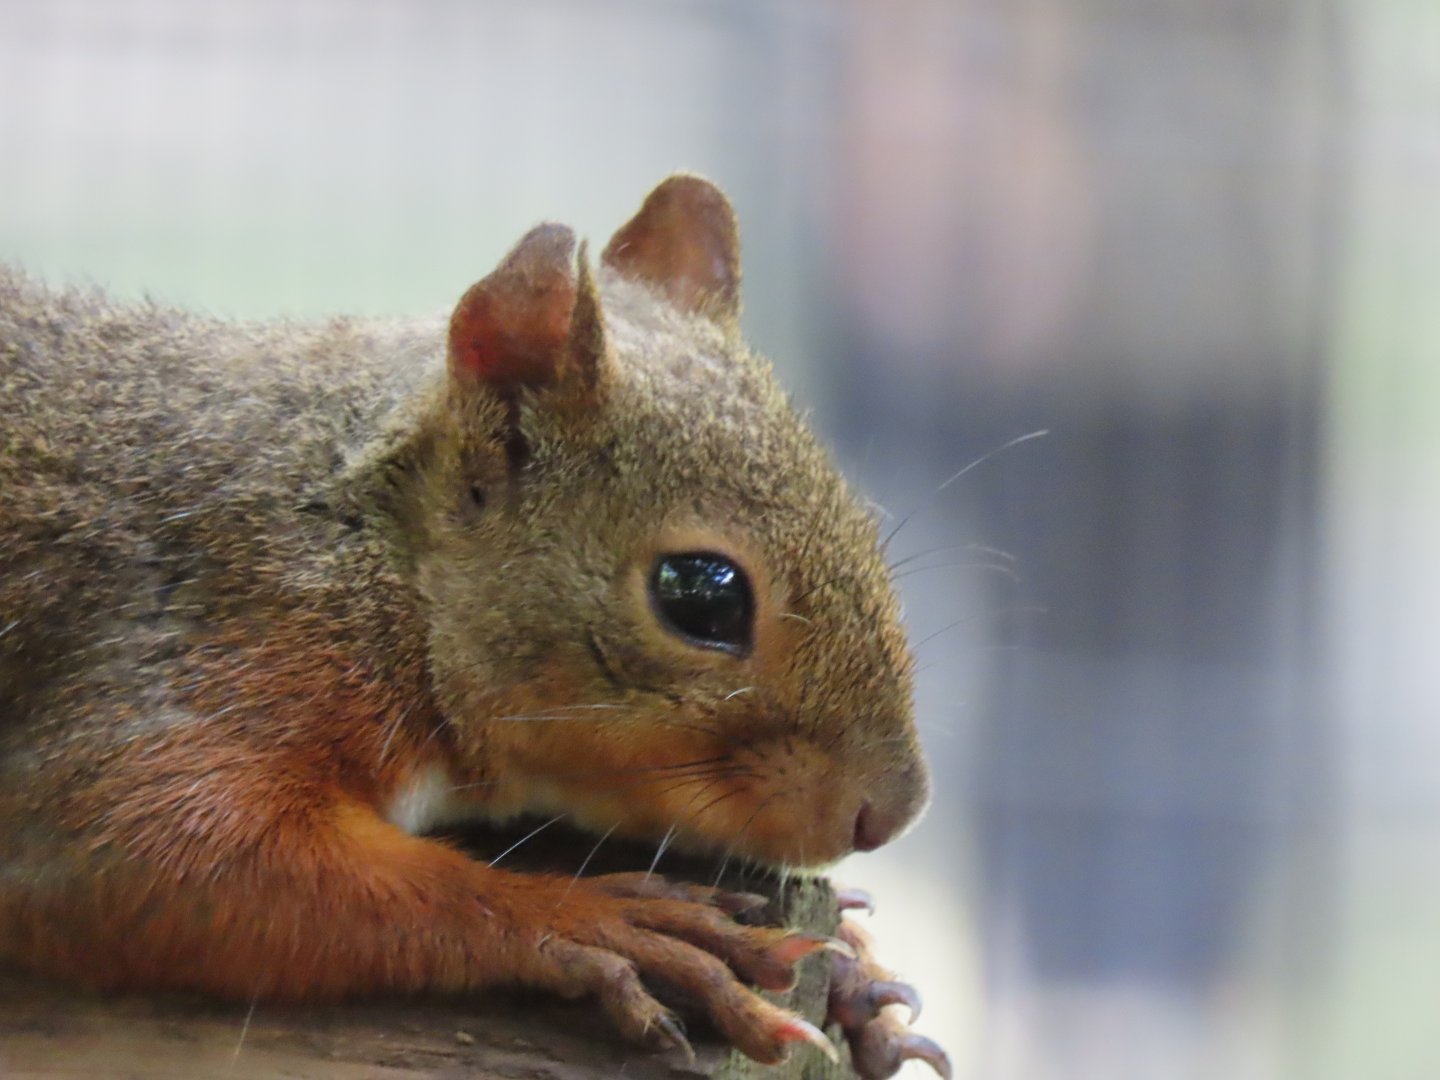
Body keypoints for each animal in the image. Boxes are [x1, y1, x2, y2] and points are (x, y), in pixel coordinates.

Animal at [0, 175, 947, 1076]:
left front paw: (854, 966)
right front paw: (605, 921)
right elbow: (154, 848)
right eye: (701, 595)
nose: (889, 815)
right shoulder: (202, 645)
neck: (377, 558)